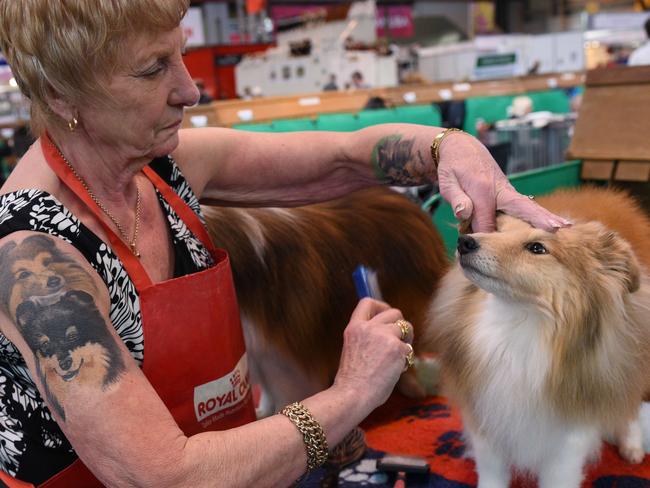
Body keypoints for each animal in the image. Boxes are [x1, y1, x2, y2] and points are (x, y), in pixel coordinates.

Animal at [201, 187, 446, 416]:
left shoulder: (283, 360)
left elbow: (283, 395)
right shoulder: (260, 354)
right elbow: (269, 393)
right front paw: (262, 413)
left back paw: (414, 387)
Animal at [422, 188, 644, 488]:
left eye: (537, 248)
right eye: (497, 229)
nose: (465, 241)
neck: (518, 326)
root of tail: (614, 197)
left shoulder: (566, 441)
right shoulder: (487, 421)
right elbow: (492, 475)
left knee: (632, 403)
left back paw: (632, 446)